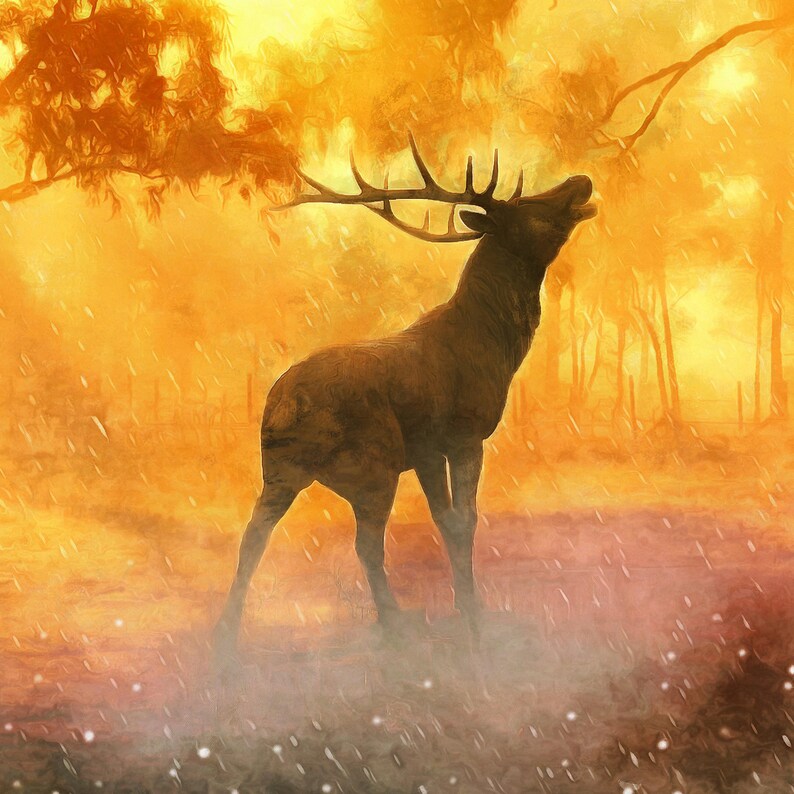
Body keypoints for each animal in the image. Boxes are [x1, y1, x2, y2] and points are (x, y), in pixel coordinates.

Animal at [213, 136, 596, 660]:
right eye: (530, 206)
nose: (582, 180)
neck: (495, 346)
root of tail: (284, 405)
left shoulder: (426, 451)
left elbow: (445, 520)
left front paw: (464, 606)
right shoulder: (460, 435)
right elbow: (464, 521)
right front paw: (474, 618)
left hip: (279, 469)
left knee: (253, 535)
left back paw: (226, 633)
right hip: (372, 464)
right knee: (366, 544)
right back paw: (395, 623)